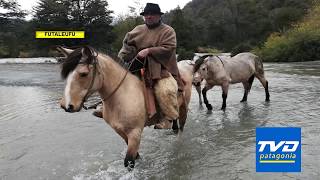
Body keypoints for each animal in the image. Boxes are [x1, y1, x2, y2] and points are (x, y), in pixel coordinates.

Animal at [57, 45, 192, 169]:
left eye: (83, 74)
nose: (66, 105)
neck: (123, 95)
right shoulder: (121, 132)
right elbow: (136, 157)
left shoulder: (135, 133)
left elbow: (129, 162)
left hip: (183, 109)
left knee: (180, 128)